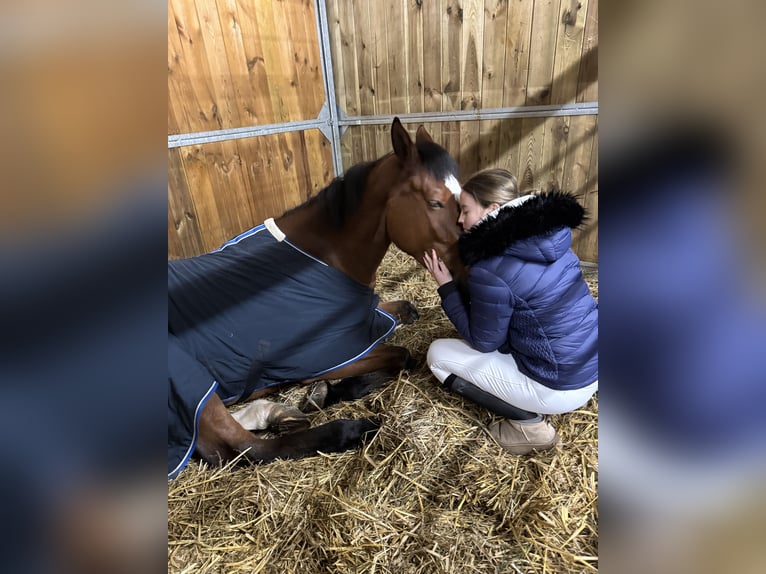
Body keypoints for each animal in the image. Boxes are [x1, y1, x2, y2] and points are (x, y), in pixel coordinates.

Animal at [168, 118, 464, 479]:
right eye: (435, 202)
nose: (470, 261)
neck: (324, 258)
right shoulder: (329, 355)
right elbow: (402, 355)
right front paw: (326, 392)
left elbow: (401, 311)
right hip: (192, 387)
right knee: (245, 447)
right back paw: (350, 429)